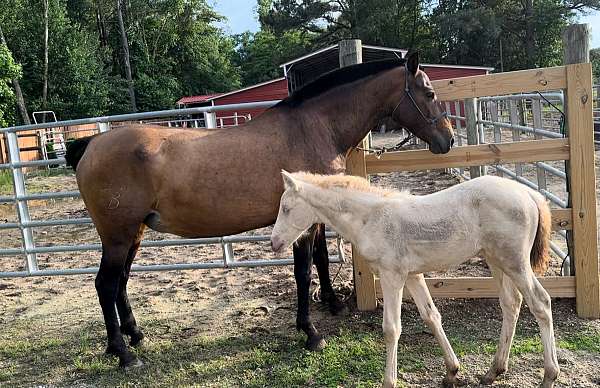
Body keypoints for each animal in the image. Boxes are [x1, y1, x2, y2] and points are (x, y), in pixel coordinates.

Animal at [65, 51, 452, 366]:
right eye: (429, 94)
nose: (447, 139)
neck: (313, 128)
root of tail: (92, 144)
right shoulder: (300, 224)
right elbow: (303, 271)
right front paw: (310, 332)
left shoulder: (316, 217)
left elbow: (322, 260)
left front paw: (332, 303)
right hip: (118, 236)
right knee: (105, 284)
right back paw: (123, 354)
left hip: (135, 232)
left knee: (121, 282)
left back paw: (134, 336)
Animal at [270, 171, 556, 386]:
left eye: (286, 208)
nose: (274, 243)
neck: (371, 218)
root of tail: (529, 193)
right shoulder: (413, 276)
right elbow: (431, 316)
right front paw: (452, 371)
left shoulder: (392, 276)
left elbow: (391, 328)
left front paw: (389, 381)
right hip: (497, 261)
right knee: (511, 304)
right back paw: (493, 371)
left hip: (516, 263)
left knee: (540, 303)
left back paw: (549, 375)